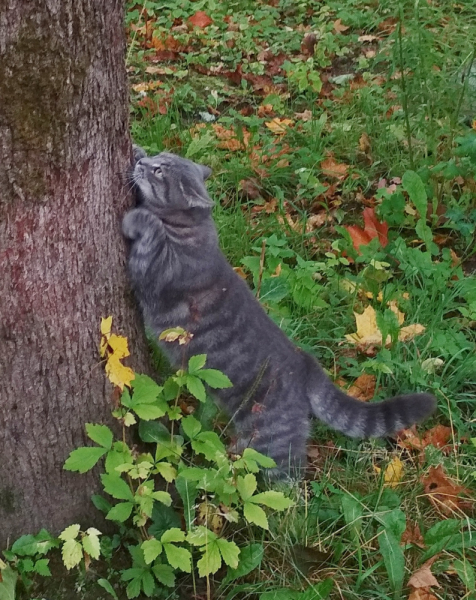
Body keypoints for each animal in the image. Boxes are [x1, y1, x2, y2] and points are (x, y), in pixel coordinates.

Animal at [122, 148, 436, 476]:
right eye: (157, 158)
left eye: (159, 171)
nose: (142, 163)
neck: (193, 224)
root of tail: (306, 366)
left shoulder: (158, 272)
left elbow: (151, 233)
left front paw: (137, 217)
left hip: (273, 441)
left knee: (289, 477)